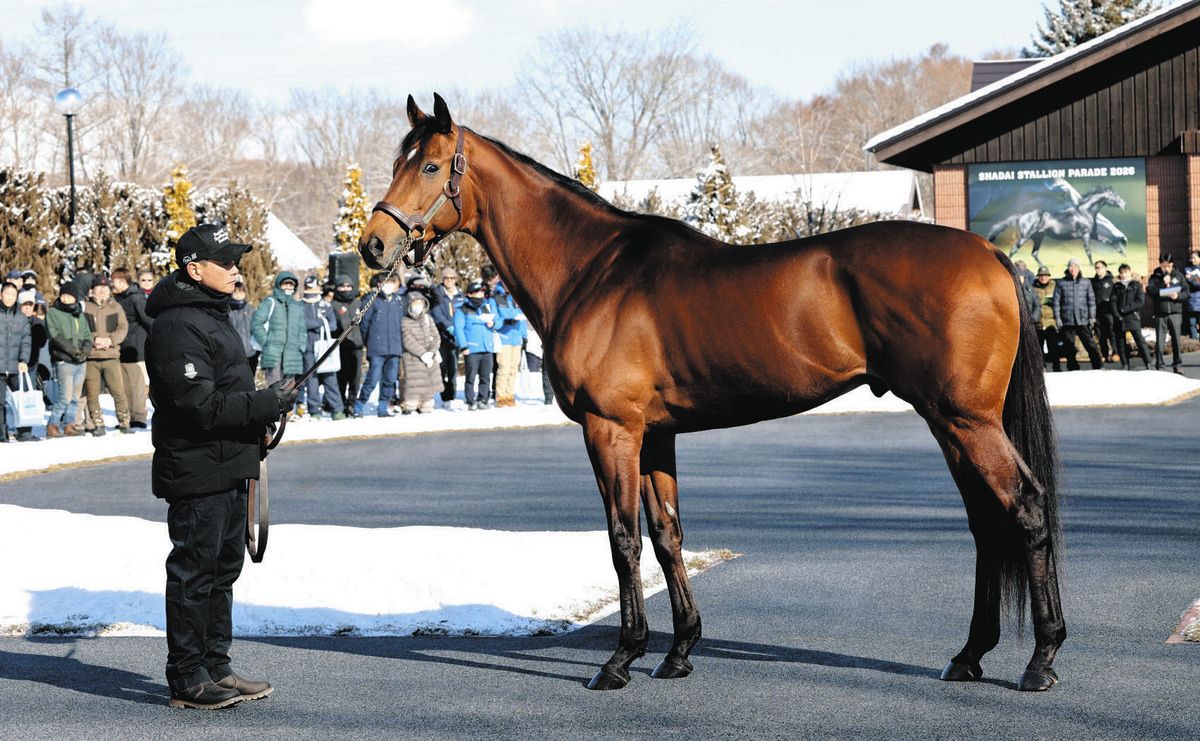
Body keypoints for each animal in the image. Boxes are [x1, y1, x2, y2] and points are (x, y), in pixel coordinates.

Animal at [360, 94, 1065, 693]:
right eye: (395, 162)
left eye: (428, 165)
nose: (373, 245)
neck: (591, 270)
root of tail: (989, 256)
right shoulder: (654, 436)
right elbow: (667, 534)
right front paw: (677, 652)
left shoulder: (611, 429)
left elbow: (623, 539)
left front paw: (620, 659)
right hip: (952, 423)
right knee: (987, 521)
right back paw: (969, 656)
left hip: (966, 420)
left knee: (1025, 507)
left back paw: (1041, 658)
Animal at [987, 186, 1127, 267]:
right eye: (1115, 196)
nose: (1124, 204)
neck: (1085, 212)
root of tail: (1021, 216)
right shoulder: (1085, 234)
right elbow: (1088, 250)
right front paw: (1092, 265)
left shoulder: (1093, 233)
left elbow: (1108, 240)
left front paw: (1123, 252)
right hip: (1025, 237)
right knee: (1014, 249)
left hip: (1038, 237)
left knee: (1034, 253)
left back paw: (1044, 268)